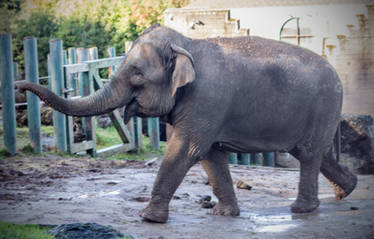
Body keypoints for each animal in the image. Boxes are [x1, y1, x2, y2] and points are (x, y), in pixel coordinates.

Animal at [16, 23, 356, 223]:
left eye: (136, 75)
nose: (18, 86)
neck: (186, 44)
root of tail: (338, 74)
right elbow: (210, 154)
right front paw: (225, 214)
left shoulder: (206, 98)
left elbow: (187, 148)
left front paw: (148, 218)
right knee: (315, 153)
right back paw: (346, 191)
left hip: (323, 104)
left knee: (309, 155)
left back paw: (302, 210)